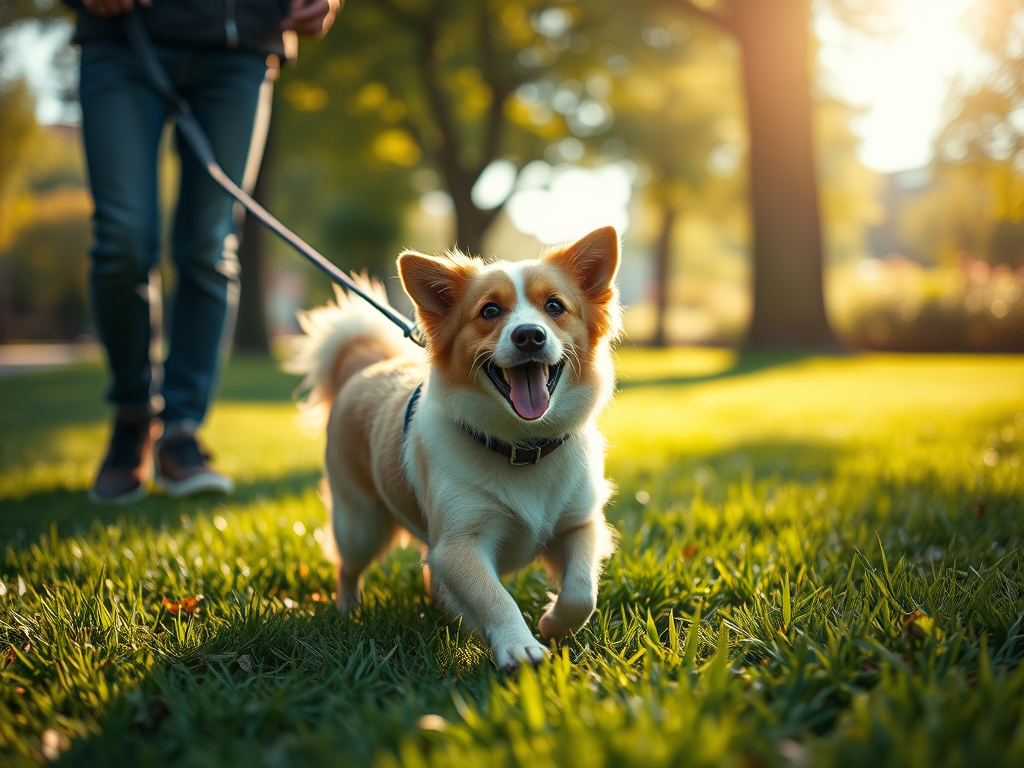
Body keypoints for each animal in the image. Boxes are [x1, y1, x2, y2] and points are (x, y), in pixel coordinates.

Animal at [290, 225, 622, 671]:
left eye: (554, 306)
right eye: (489, 311)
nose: (529, 335)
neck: (521, 445)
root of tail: (364, 366)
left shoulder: (579, 524)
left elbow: (582, 592)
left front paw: (553, 623)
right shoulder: (458, 543)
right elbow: (494, 596)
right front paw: (519, 645)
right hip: (360, 525)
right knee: (348, 566)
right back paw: (348, 611)